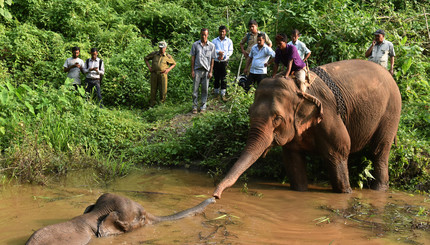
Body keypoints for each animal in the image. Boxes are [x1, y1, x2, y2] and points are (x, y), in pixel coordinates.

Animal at [213, 59, 402, 199]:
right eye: (249, 112)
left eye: (277, 119)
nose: (215, 196)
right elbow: (292, 158)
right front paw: (300, 191)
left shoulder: (328, 114)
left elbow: (340, 149)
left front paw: (346, 193)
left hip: (391, 111)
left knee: (379, 150)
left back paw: (379, 189)